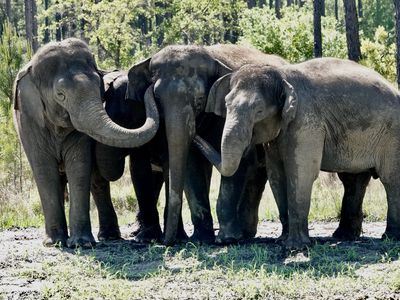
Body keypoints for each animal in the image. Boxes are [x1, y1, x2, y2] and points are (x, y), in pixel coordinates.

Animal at [12, 38, 159, 247]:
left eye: (99, 86)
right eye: (60, 95)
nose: (152, 86)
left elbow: (79, 166)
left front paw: (81, 243)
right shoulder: (29, 120)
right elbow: (44, 169)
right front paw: (54, 243)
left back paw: (108, 237)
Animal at [92, 69, 188, 241]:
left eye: (129, 121)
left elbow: (170, 167)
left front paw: (176, 237)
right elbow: (139, 169)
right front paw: (147, 238)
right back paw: (136, 232)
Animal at [126, 45, 286, 246]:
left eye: (200, 100)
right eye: (157, 98)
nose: (167, 242)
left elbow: (239, 163)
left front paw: (227, 239)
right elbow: (190, 165)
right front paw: (201, 239)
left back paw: (243, 233)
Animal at [202, 56, 400, 248]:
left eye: (258, 110)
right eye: (226, 105)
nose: (197, 134)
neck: (281, 75)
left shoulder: (305, 121)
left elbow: (300, 173)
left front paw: (295, 247)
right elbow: (276, 175)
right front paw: (282, 241)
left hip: (392, 137)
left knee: (390, 180)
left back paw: (389, 238)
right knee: (354, 180)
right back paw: (345, 236)